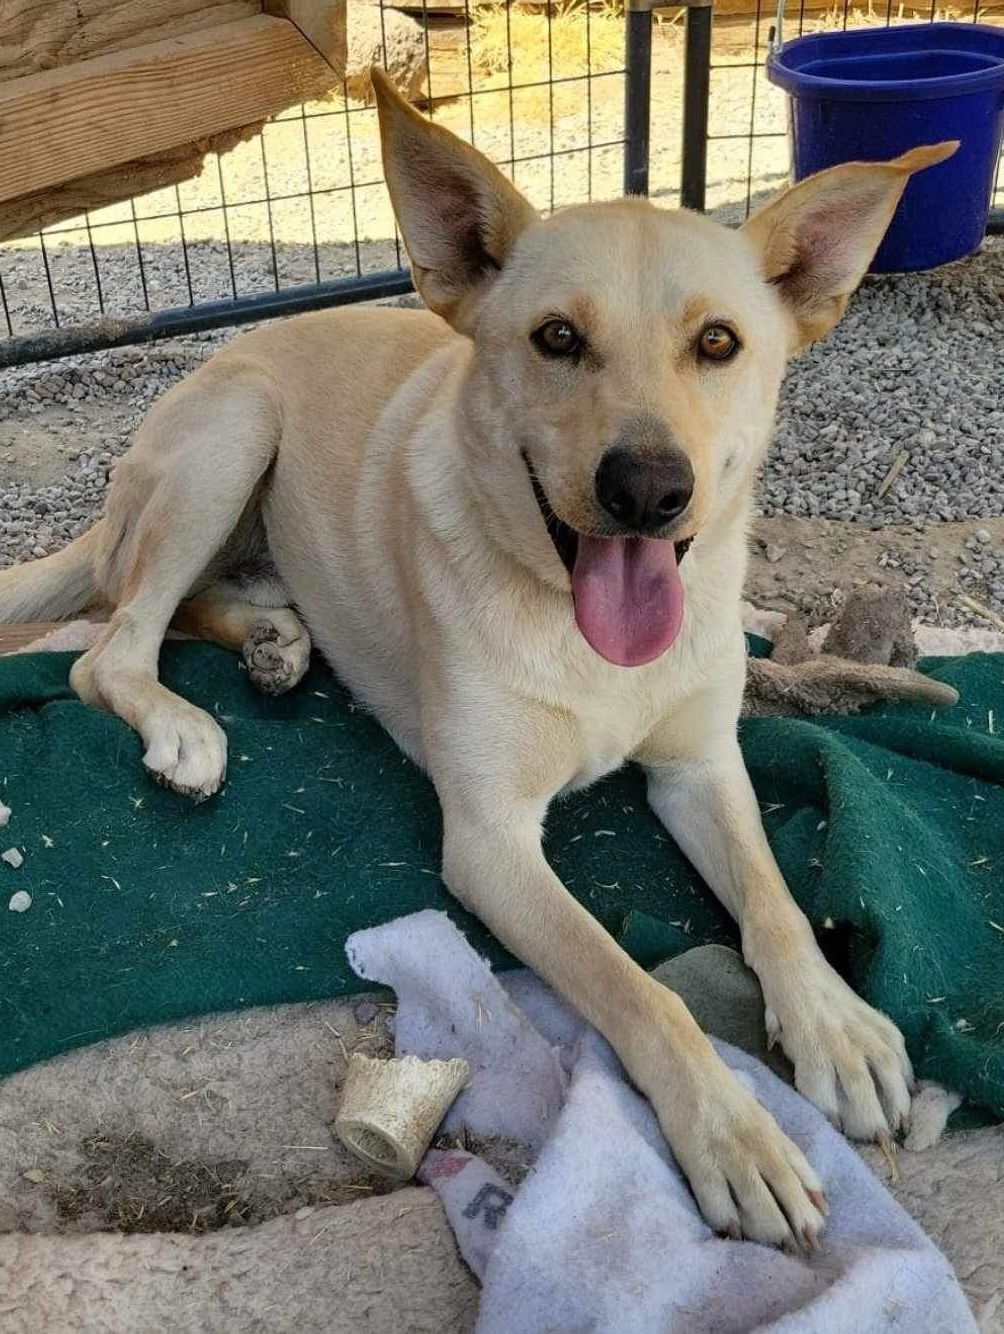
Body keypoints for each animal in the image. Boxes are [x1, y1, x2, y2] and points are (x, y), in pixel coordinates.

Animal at [0, 78, 954, 1248]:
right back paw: (185, 722)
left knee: (180, 610)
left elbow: (773, 898)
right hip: (233, 433)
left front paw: (835, 1024)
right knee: (111, 643)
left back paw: (275, 640)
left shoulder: (699, 765)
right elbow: (638, 989)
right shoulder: (490, 840)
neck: (582, 637)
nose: (648, 488)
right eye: (557, 337)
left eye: (719, 342)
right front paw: (733, 1132)